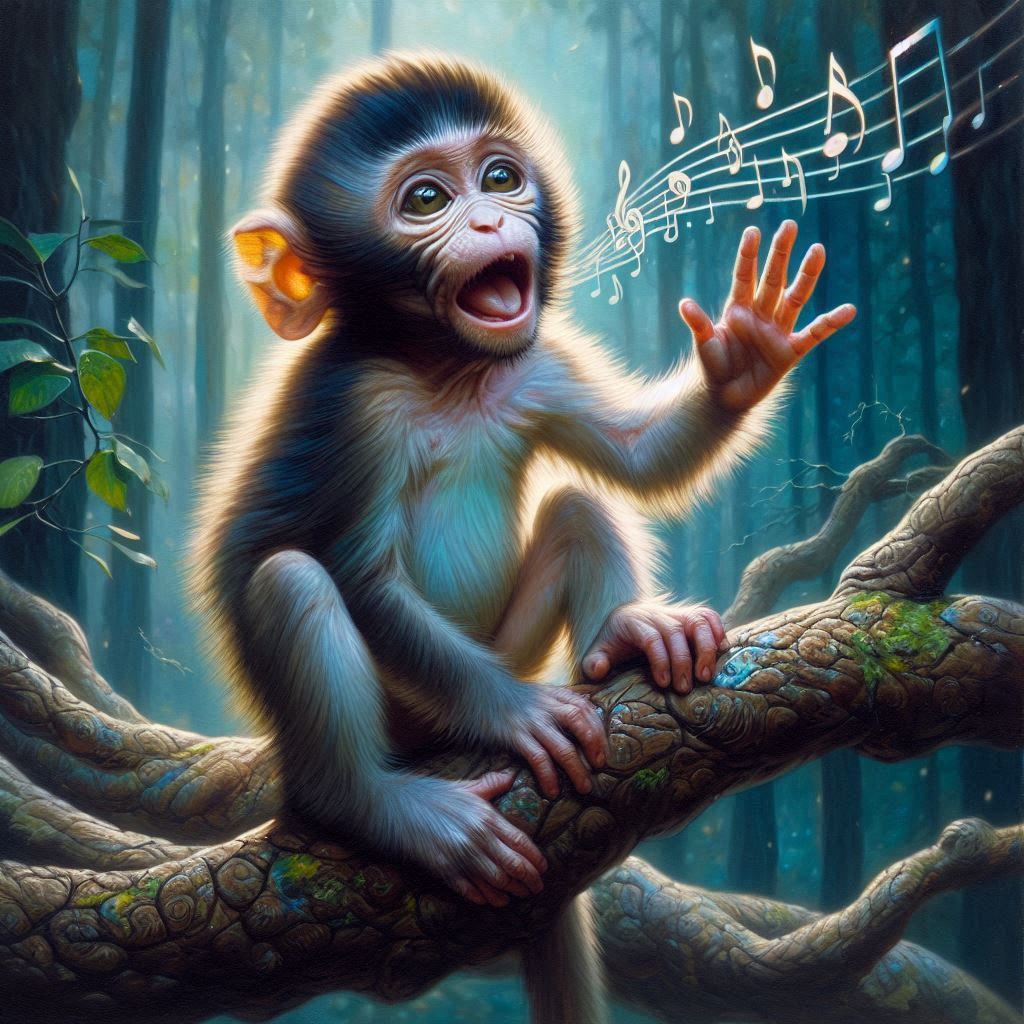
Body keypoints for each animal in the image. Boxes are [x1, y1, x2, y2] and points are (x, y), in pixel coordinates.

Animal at [189, 53, 856, 1024]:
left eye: (500, 178)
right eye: (427, 198)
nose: (492, 220)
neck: (448, 370)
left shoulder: (540, 359)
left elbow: (635, 456)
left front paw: (745, 352)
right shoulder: (357, 408)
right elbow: (360, 576)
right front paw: (517, 713)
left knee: (579, 508)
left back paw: (630, 632)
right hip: (412, 716)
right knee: (294, 584)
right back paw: (377, 803)